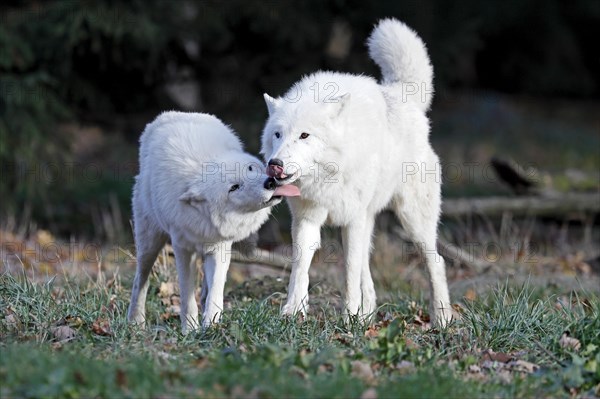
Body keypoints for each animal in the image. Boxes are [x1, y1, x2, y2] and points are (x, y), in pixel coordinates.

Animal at [129, 111, 302, 332]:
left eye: (250, 168)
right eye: (234, 187)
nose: (270, 182)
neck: (206, 219)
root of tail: (169, 114)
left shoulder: (220, 246)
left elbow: (216, 291)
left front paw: (211, 324)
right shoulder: (182, 249)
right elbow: (187, 296)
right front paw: (190, 329)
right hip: (149, 242)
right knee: (140, 279)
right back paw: (135, 320)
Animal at [260, 18, 452, 326]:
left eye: (304, 135)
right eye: (278, 135)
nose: (274, 164)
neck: (327, 177)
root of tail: (400, 94)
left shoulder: (352, 220)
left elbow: (349, 272)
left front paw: (348, 317)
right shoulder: (306, 220)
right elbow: (300, 267)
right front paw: (293, 311)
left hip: (411, 220)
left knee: (436, 262)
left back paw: (442, 318)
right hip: (368, 220)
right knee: (366, 268)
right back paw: (368, 315)